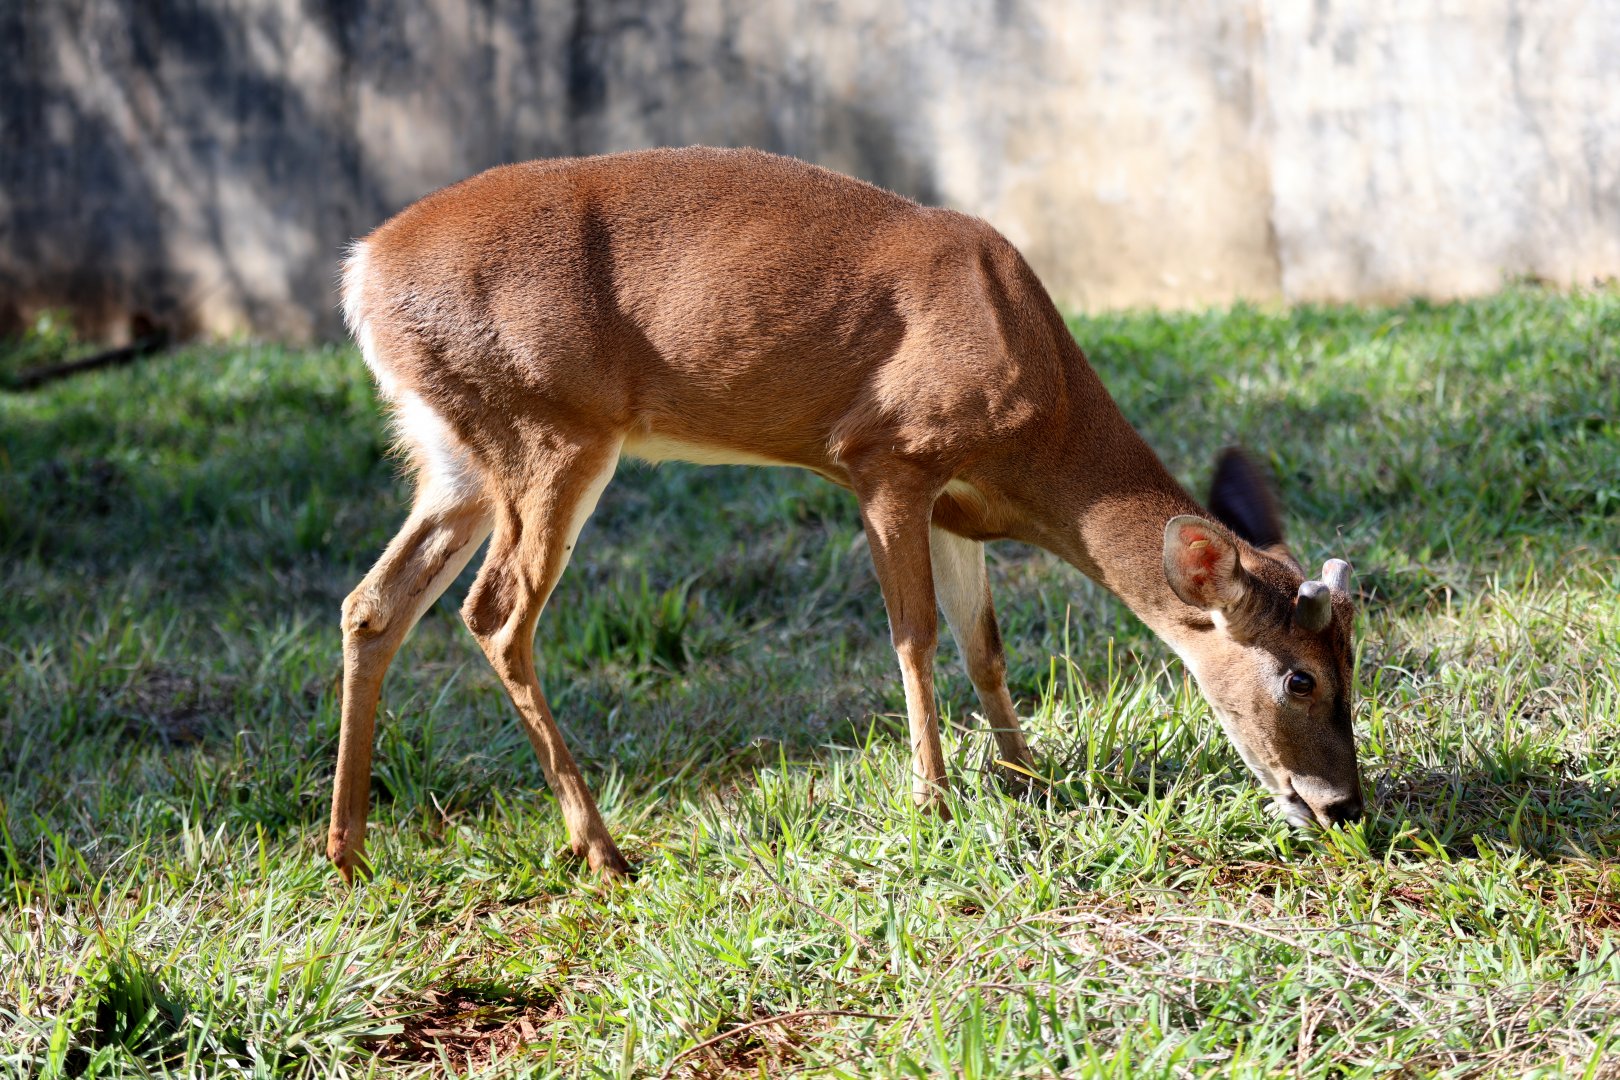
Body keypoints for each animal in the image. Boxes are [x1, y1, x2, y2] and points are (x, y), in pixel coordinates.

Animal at [327, 146, 1362, 882]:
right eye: (1300, 677)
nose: (1342, 805)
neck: (1043, 423)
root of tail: (360, 273)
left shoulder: (955, 505)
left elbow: (985, 645)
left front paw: (1027, 781)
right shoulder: (886, 455)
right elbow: (915, 636)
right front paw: (935, 803)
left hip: (456, 456)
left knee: (373, 603)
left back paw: (350, 853)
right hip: (547, 426)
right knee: (497, 613)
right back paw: (603, 850)